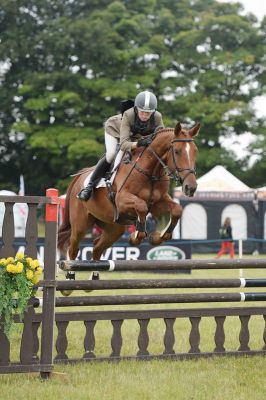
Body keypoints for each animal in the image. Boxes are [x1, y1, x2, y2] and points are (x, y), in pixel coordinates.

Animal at [58, 122, 200, 262]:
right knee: (73, 248)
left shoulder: (157, 203)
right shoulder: (121, 200)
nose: (190, 187)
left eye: (195, 151)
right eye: (177, 151)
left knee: (97, 248)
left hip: (114, 227)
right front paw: (136, 236)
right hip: (80, 225)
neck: (151, 172)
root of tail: (79, 177)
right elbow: (141, 207)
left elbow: (177, 209)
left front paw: (158, 237)